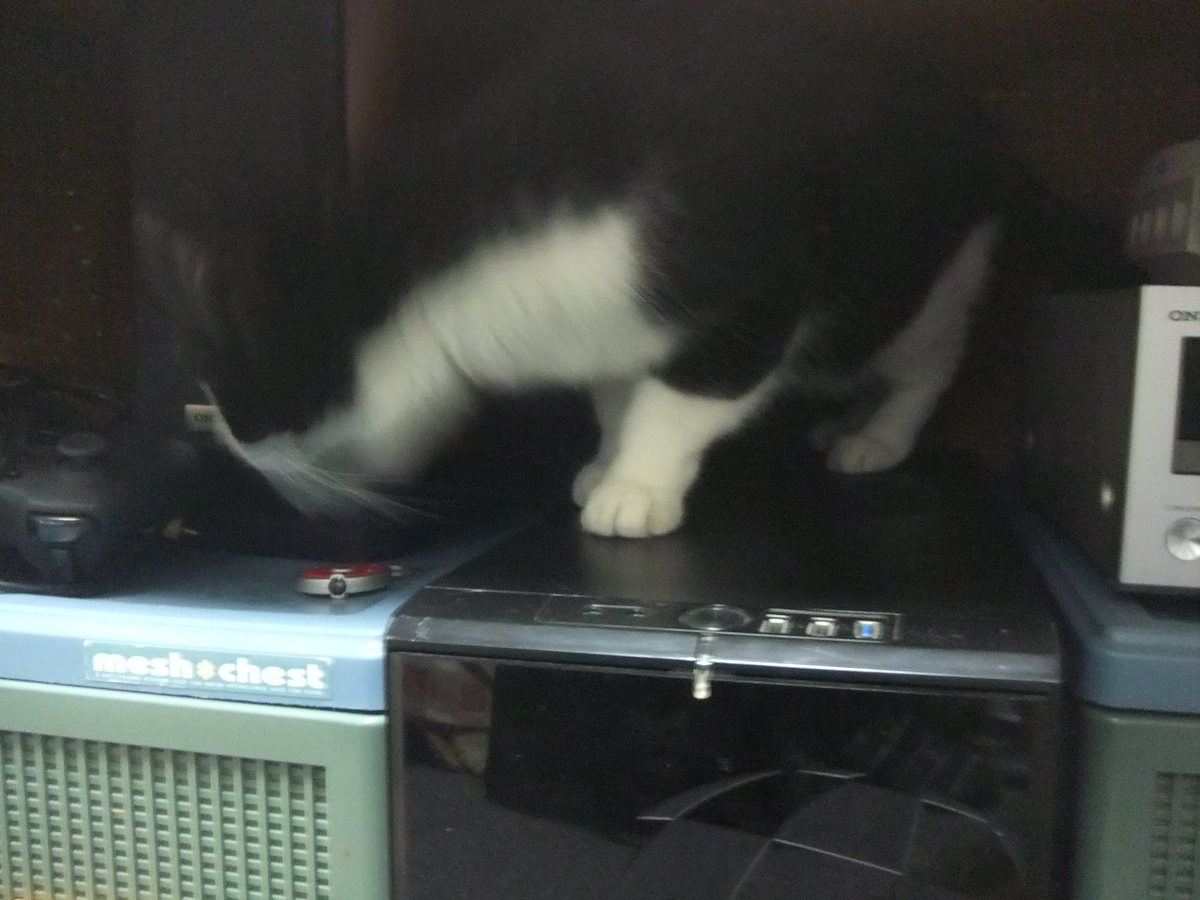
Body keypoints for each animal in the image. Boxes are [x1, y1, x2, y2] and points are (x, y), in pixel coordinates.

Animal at [135, 3, 1115, 539]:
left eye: (229, 394)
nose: (224, 446)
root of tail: (988, 128)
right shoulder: (599, 327)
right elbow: (615, 394)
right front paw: (603, 460)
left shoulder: (751, 289)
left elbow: (684, 397)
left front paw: (636, 485)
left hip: (908, 279)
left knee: (927, 354)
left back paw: (878, 436)